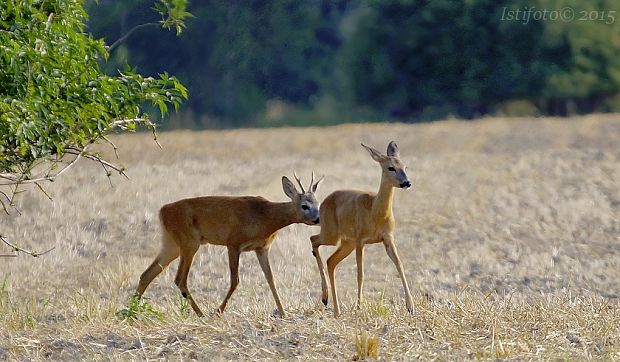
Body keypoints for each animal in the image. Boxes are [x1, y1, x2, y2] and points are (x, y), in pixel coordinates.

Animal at [137, 173, 324, 316]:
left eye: (318, 203)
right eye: (304, 205)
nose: (317, 219)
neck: (265, 216)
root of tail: (162, 211)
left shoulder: (261, 248)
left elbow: (271, 279)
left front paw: (283, 312)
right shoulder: (233, 243)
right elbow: (235, 281)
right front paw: (219, 311)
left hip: (171, 244)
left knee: (147, 274)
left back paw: (132, 311)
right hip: (189, 242)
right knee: (179, 279)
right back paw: (201, 314)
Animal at [308, 141, 412, 316]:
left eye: (405, 166)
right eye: (390, 167)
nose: (407, 183)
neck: (375, 212)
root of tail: (324, 203)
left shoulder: (388, 238)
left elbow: (399, 264)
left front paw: (410, 306)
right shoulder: (360, 240)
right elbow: (360, 274)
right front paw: (359, 307)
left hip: (346, 242)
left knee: (331, 261)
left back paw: (336, 310)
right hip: (332, 234)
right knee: (313, 240)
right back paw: (325, 298)